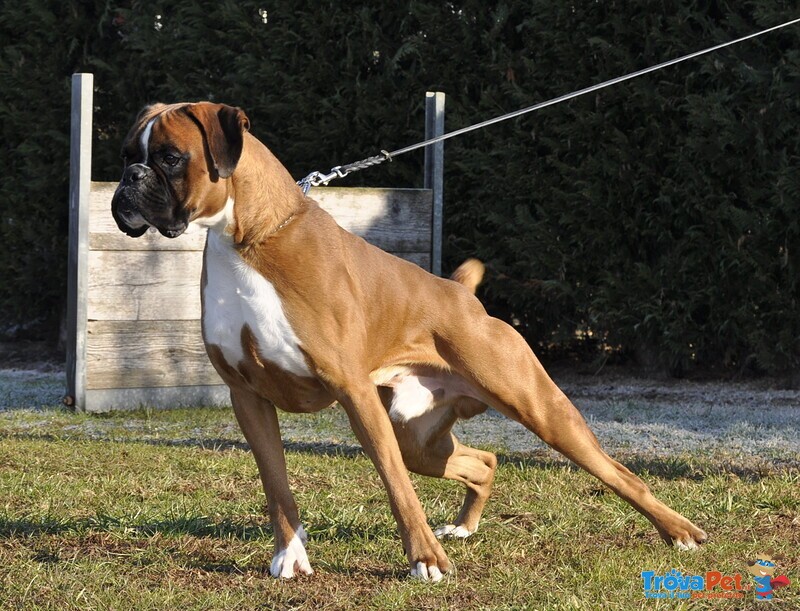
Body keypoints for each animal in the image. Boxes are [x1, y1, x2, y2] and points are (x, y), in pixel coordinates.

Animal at [111, 101, 708, 584]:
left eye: (169, 157)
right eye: (127, 155)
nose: (129, 178)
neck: (249, 239)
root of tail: (462, 295)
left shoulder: (353, 393)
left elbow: (395, 485)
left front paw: (425, 563)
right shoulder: (248, 398)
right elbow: (276, 486)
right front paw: (292, 559)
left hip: (537, 408)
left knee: (619, 474)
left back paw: (680, 532)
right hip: (416, 435)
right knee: (483, 461)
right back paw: (463, 528)